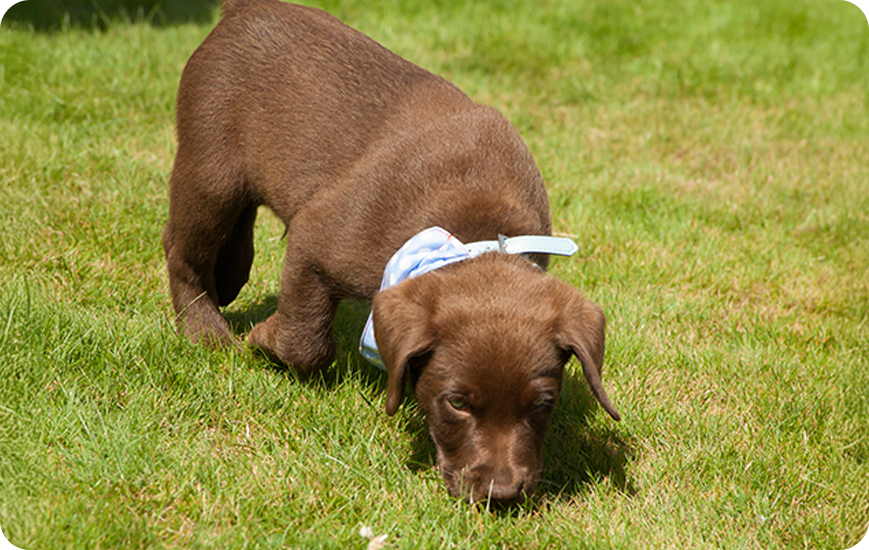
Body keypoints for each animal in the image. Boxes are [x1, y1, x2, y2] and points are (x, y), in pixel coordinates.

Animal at [163, 0, 620, 508]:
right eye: (456, 403)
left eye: (542, 404)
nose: (501, 494)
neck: (476, 230)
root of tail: (244, 9)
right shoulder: (315, 239)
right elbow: (307, 342)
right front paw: (264, 340)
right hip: (211, 168)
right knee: (182, 250)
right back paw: (204, 330)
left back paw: (229, 277)